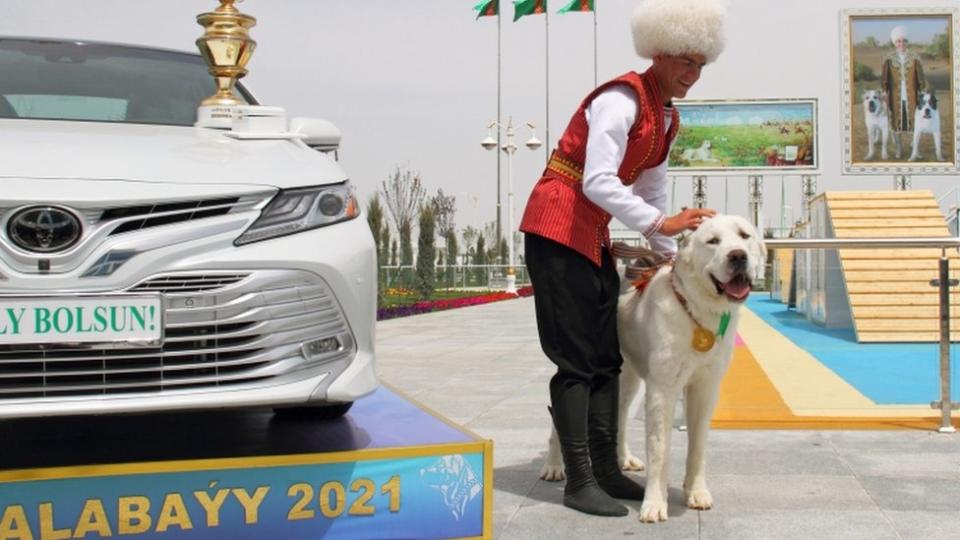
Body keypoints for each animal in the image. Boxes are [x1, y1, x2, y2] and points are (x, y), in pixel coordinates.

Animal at [540, 215, 764, 524]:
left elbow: (698, 446)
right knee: (559, 413)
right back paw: (554, 466)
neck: (695, 310)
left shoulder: (706, 387)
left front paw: (696, 492)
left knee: (619, 414)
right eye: (713, 241)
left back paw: (623, 460)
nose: (738, 256)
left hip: (626, 375)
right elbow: (660, 449)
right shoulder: (662, 389)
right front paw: (655, 504)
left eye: (744, 236)